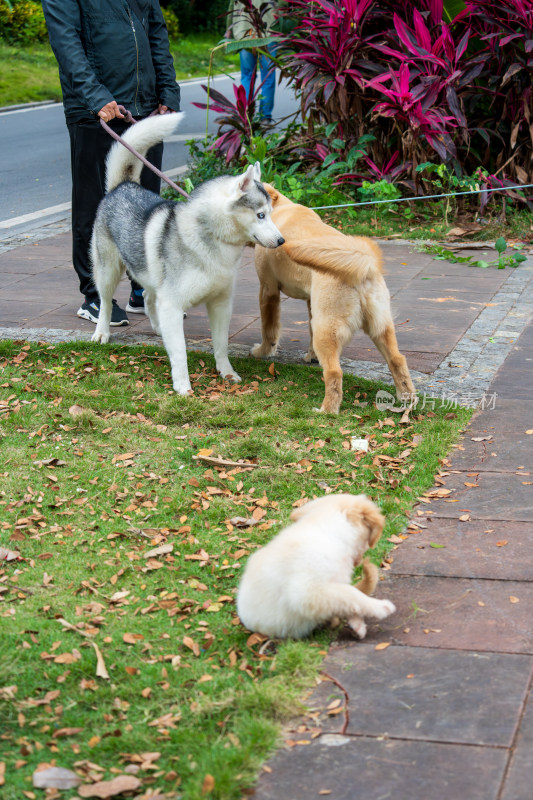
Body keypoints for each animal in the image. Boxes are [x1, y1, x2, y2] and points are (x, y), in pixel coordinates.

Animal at [89, 114, 284, 396]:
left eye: (270, 214)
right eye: (260, 215)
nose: (281, 241)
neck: (212, 238)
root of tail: (124, 186)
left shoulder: (221, 304)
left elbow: (221, 345)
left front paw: (226, 372)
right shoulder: (172, 304)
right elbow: (180, 351)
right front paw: (183, 386)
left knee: (147, 296)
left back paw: (158, 327)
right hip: (108, 271)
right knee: (105, 302)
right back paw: (102, 332)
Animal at [237, 490, 394, 640]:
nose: (358, 561)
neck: (330, 534)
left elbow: (346, 600)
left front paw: (357, 624)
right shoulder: (307, 593)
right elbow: (351, 594)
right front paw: (380, 607)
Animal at [251, 185, 414, 416]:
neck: (282, 207)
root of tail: (363, 266)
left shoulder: (268, 290)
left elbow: (269, 330)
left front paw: (263, 352)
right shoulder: (311, 302)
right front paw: (311, 356)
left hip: (327, 330)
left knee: (334, 373)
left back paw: (326, 411)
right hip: (380, 327)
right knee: (397, 360)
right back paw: (407, 399)